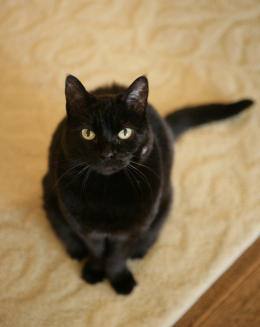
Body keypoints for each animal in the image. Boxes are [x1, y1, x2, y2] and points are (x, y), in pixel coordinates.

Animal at [42, 75, 252, 296]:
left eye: (125, 132)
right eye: (87, 133)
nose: (107, 153)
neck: (108, 191)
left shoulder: (132, 230)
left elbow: (116, 257)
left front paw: (120, 281)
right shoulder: (86, 230)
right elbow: (97, 252)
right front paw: (95, 272)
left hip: (164, 202)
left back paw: (139, 251)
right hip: (50, 195)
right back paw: (76, 250)